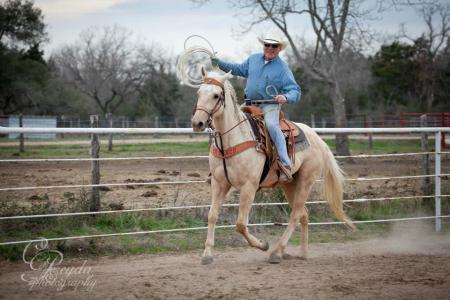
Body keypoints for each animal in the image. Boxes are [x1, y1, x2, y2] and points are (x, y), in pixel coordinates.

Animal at [191, 69, 356, 264]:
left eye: (216, 95)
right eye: (199, 93)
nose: (197, 123)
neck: (232, 140)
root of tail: (318, 139)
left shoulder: (249, 187)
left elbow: (240, 224)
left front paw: (263, 245)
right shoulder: (219, 184)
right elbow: (212, 215)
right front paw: (207, 254)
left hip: (306, 181)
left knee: (295, 214)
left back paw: (276, 251)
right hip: (289, 184)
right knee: (304, 213)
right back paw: (301, 252)